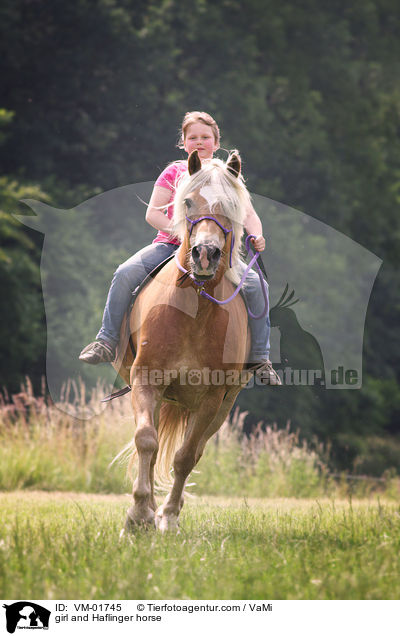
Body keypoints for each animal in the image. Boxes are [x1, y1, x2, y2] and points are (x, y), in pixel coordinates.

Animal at [115, 149, 255, 532]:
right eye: (188, 201)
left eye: (232, 205)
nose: (205, 253)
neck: (194, 312)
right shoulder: (146, 380)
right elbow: (147, 442)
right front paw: (139, 515)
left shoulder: (212, 398)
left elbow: (185, 457)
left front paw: (167, 516)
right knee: (152, 447)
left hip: (220, 406)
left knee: (194, 451)